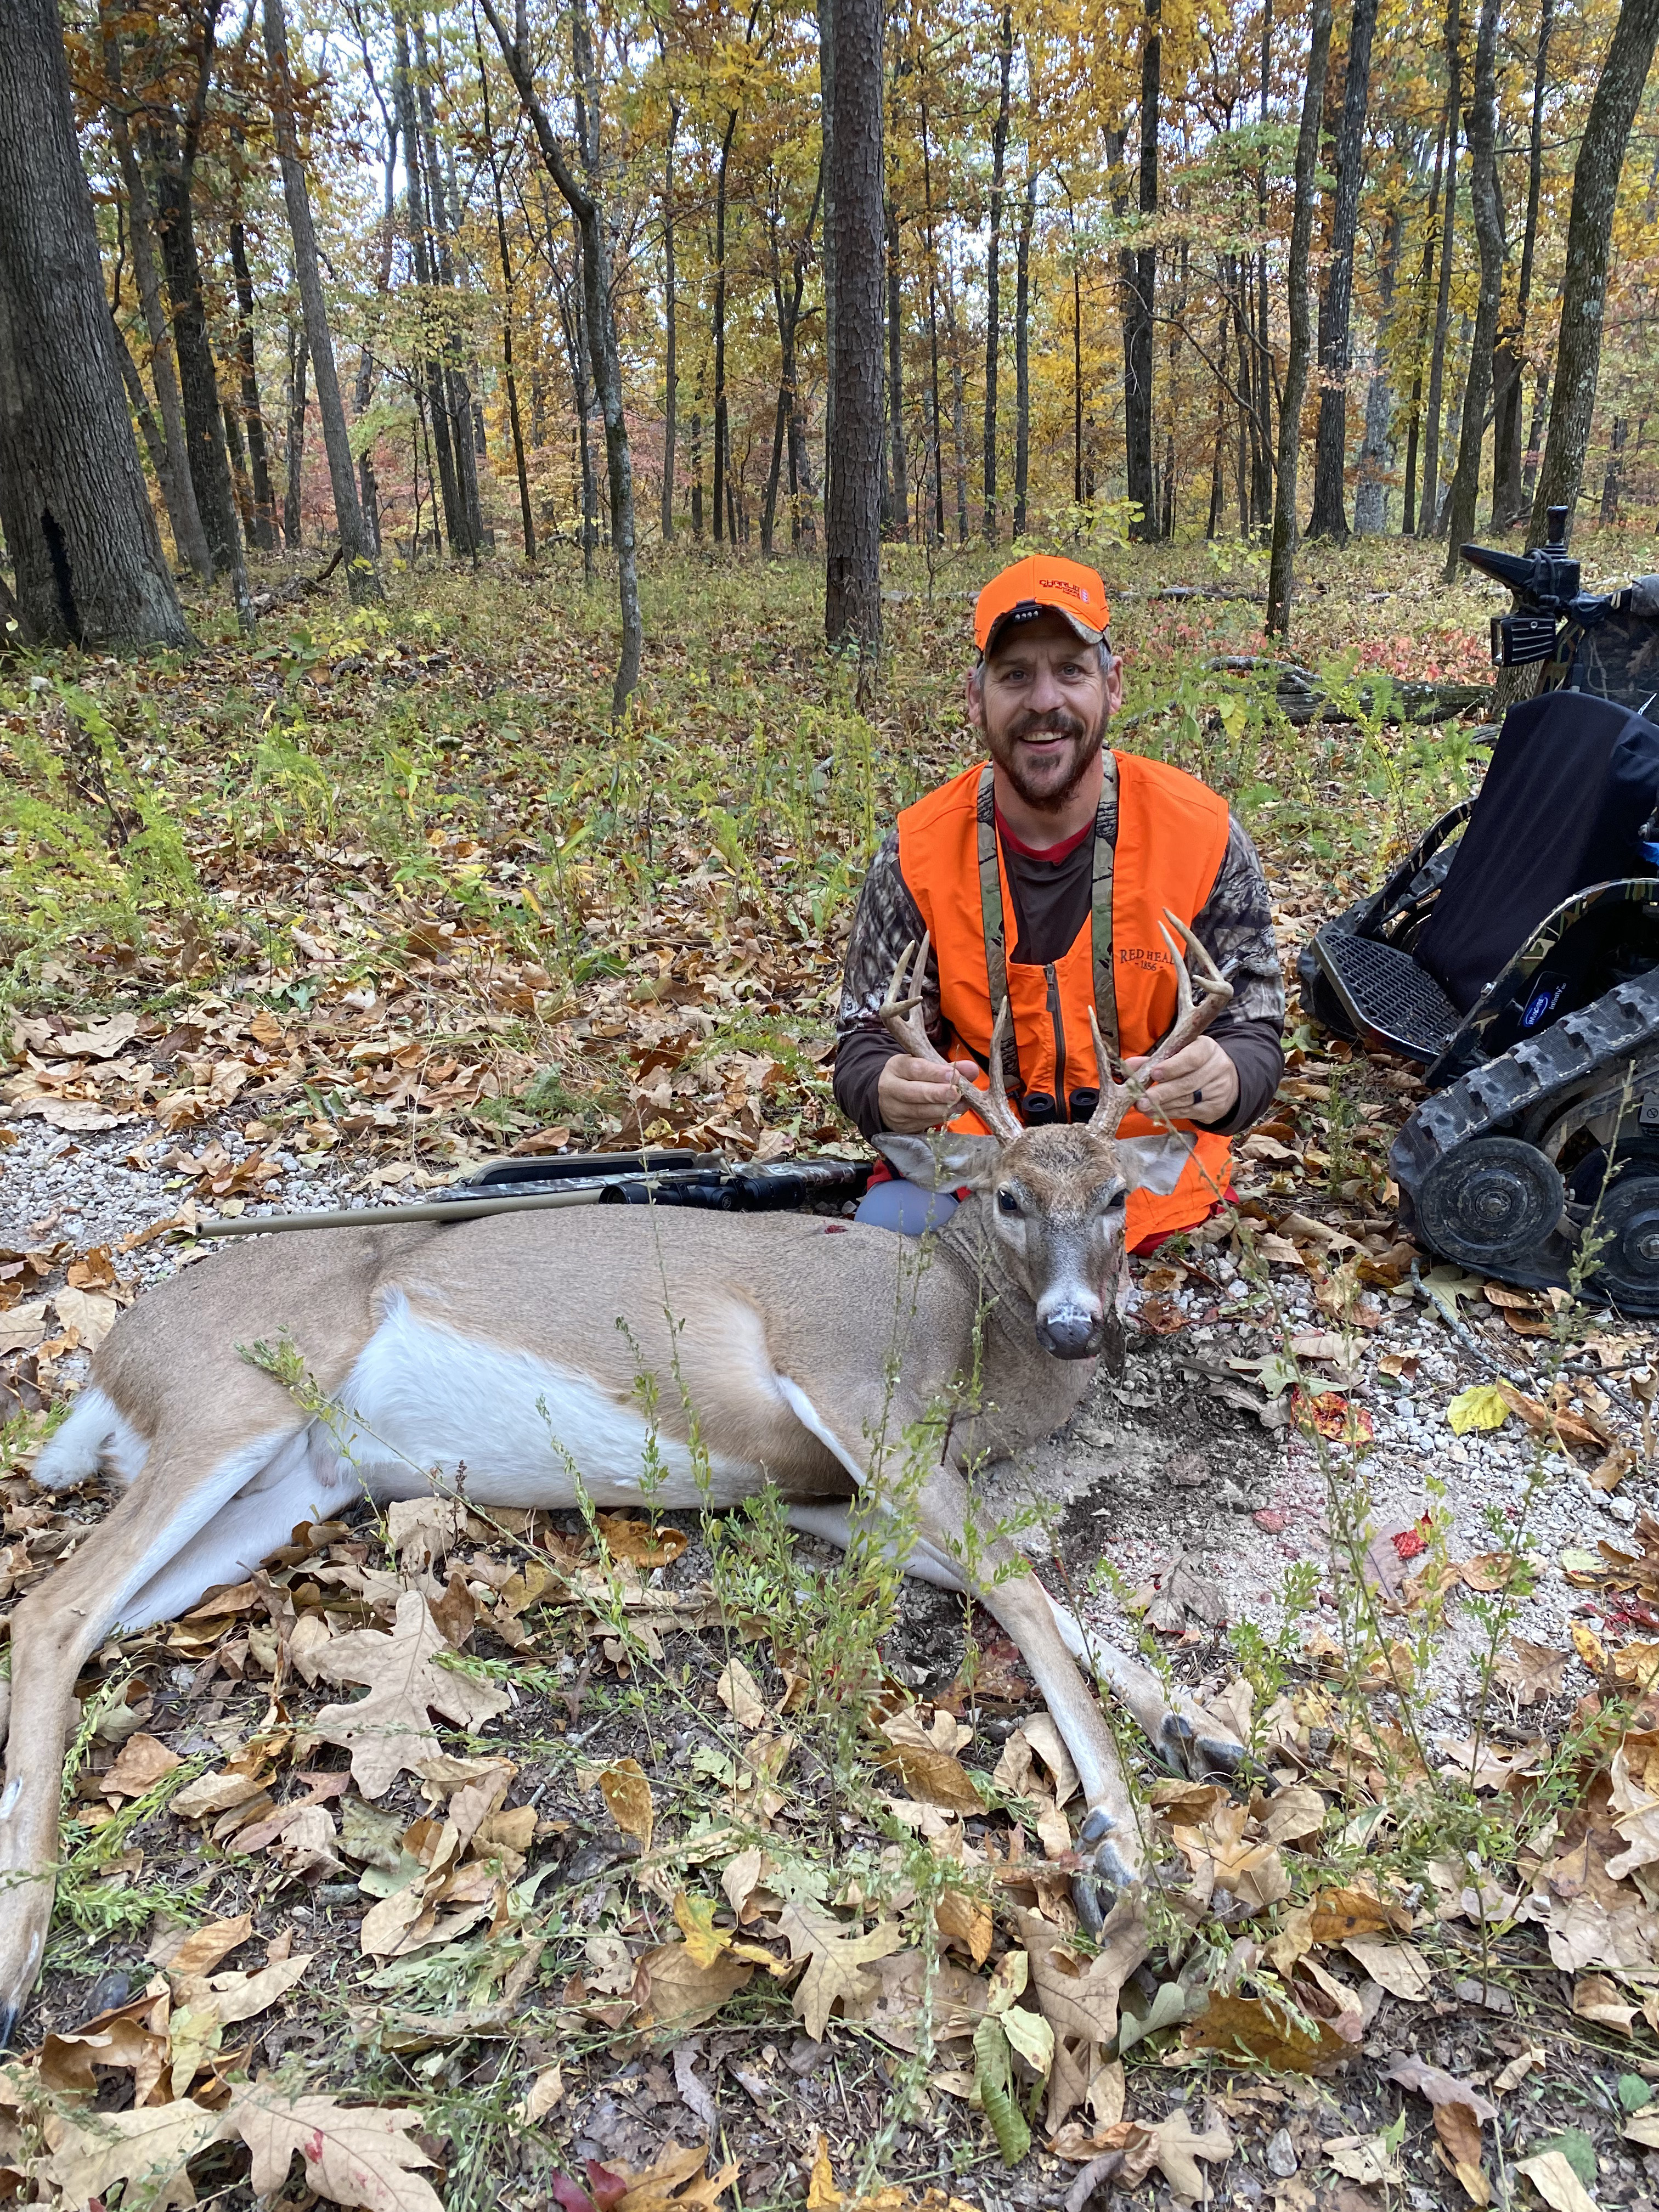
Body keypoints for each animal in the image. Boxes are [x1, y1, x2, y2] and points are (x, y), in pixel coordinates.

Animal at [0, 911, 1248, 2035]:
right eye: (1007, 1195)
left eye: (1119, 1197)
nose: (1076, 1326)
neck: (960, 1324)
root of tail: (109, 1366)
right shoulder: (851, 1384)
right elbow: (1023, 1587)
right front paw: (1123, 1850)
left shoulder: (820, 1489)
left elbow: (1013, 1579)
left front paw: (1198, 1727)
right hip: (233, 1397)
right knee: (53, 1607)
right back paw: (19, 1959)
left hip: (296, 1483)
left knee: (84, 1621)